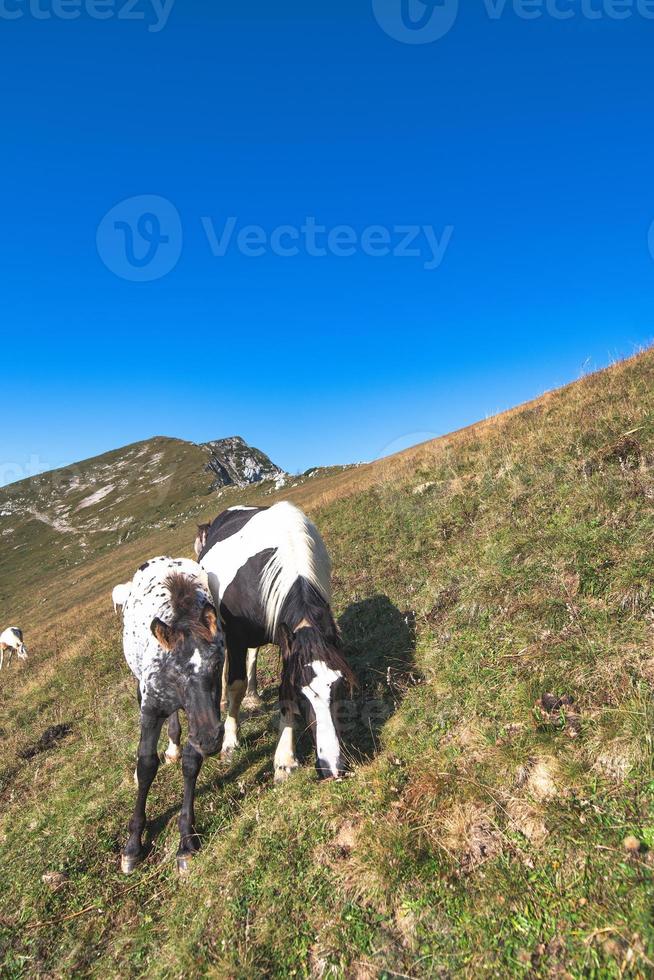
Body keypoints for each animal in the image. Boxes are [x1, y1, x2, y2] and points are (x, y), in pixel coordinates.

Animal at [120, 560, 226, 872]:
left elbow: (191, 764)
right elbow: (146, 765)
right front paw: (133, 845)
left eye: (217, 664)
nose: (210, 740)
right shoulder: (151, 710)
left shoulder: (206, 713)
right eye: (176, 672)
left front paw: (186, 841)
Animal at [197, 506, 356, 780]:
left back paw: (253, 695)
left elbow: (282, 685)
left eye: (341, 685)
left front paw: (284, 758)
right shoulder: (235, 638)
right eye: (303, 694)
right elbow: (236, 684)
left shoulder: (288, 641)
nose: (333, 768)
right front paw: (230, 743)